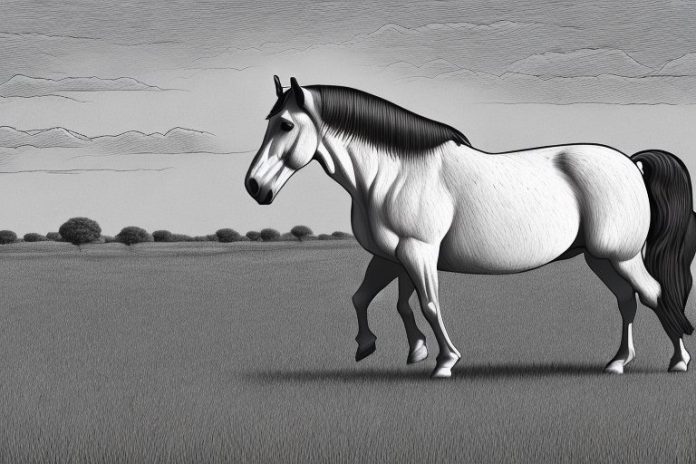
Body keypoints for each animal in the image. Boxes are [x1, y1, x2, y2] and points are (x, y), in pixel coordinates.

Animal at [245, 75, 696, 378]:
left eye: (285, 125)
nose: (254, 186)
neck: (394, 174)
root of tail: (631, 163)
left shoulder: (418, 251)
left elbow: (427, 304)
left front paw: (444, 361)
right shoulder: (392, 256)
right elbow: (371, 299)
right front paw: (384, 348)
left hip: (621, 256)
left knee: (656, 295)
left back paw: (678, 360)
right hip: (601, 258)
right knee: (627, 301)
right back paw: (618, 362)